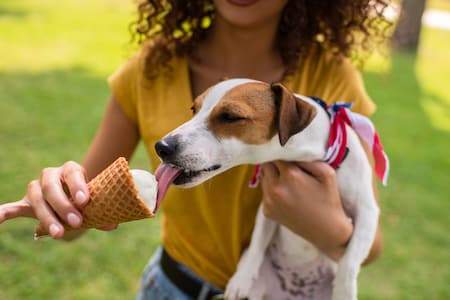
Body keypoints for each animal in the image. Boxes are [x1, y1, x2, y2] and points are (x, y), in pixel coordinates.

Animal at [154, 78, 386, 298]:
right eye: (194, 109)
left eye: (230, 116)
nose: (162, 146)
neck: (315, 155)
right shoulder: (270, 206)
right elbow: (257, 242)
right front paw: (242, 278)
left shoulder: (367, 212)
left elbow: (349, 263)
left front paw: (344, 292)